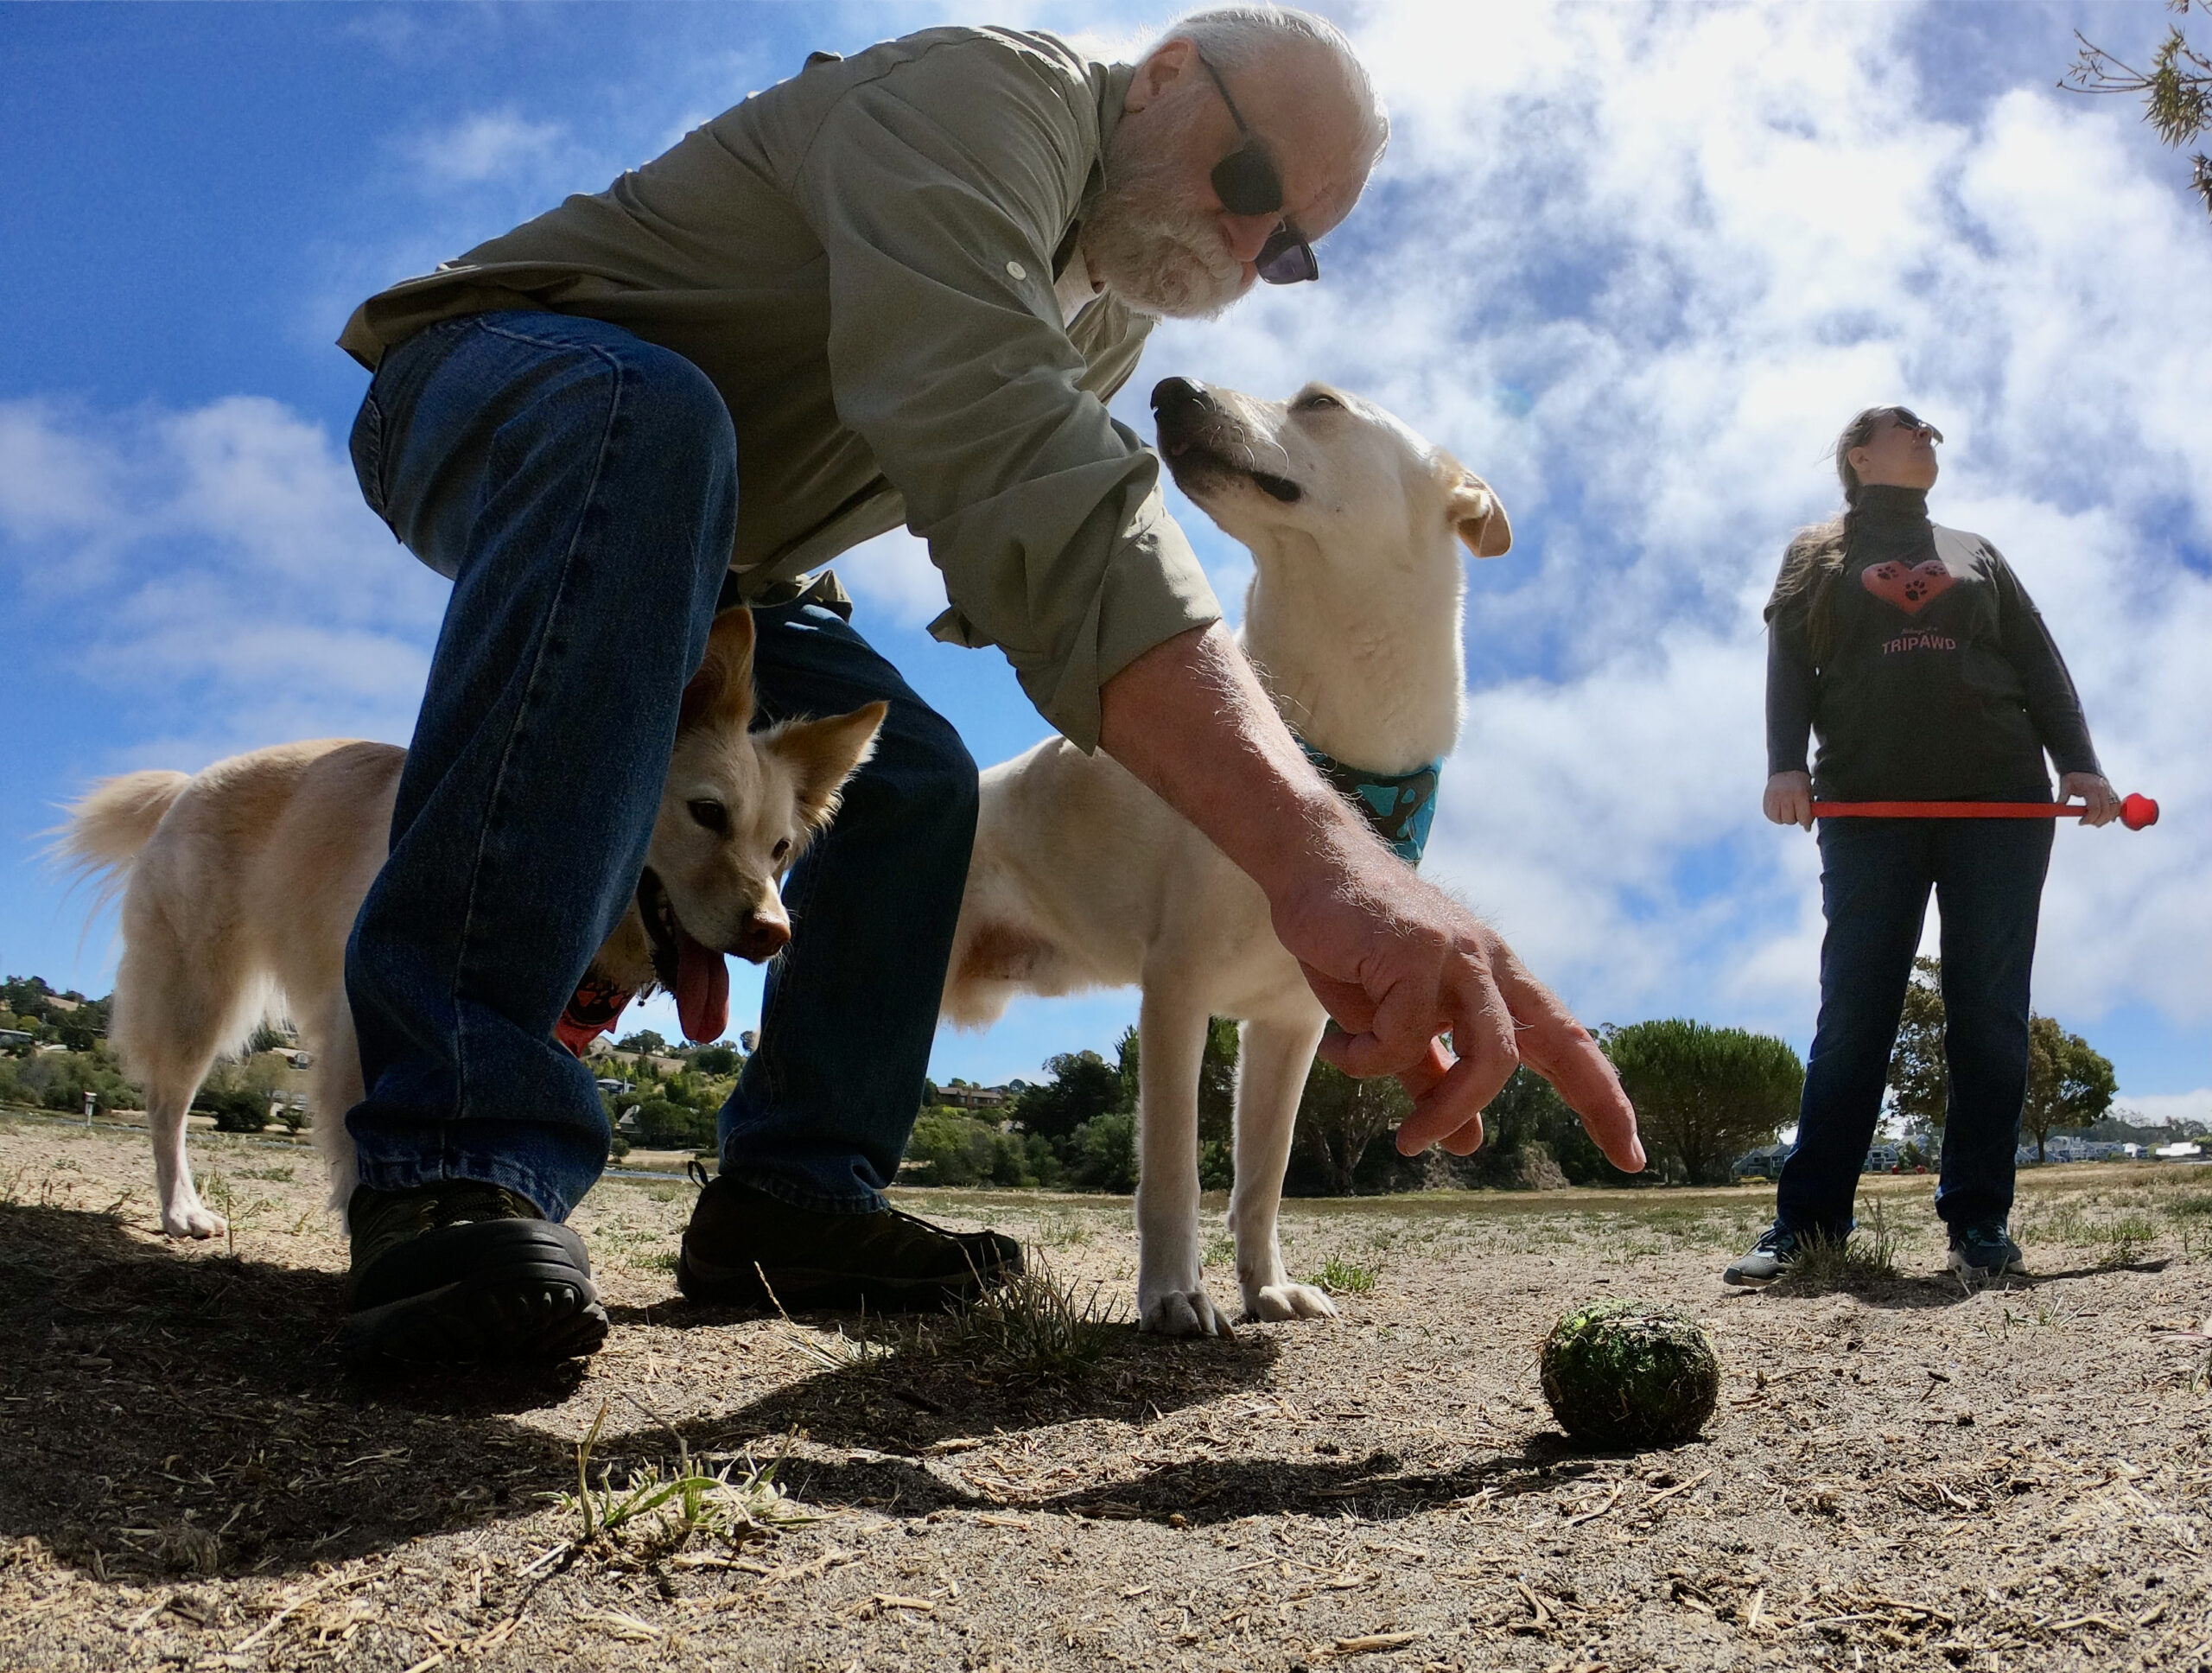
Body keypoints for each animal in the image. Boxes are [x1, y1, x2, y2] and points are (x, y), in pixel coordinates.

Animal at [58, 606, 880, 1239]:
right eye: (707, 813)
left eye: (780, 849)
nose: (774, 934)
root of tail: (186, 785)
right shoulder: (370, 1025)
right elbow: (373, 1149)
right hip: (197, 992)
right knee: (166, 1105)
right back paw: (181, 1211)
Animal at [942, 376, 1513, 1336]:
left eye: (1319, 400)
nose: (1169, 389)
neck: (1318, 768)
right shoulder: (1176, 992)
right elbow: (1174, 1171)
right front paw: (1175, 1294)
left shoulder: (1289, 1025)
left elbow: (1262, 1178)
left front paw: (1266, 1287)